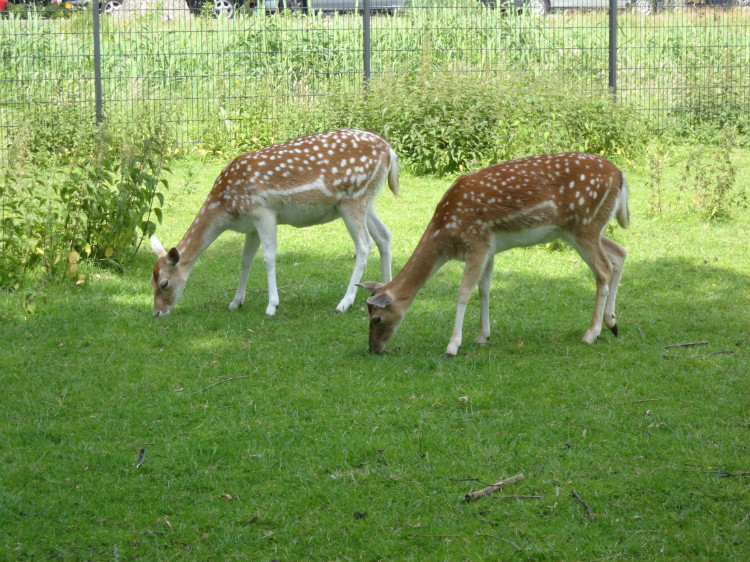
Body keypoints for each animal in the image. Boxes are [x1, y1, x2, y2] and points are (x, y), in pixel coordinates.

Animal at [149, 129, 402, 318]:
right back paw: (384, 290)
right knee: (384, 235)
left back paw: (344, 302)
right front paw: (236, 302)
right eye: (150, 280)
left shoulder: (263, 212)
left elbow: (268, 257)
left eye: (164, 283)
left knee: (364, 245)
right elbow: (245, 260)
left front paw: (272, 305)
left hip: (353, 198)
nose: (157, 312)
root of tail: (390, 151)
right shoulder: (251, 226)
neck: (225, 208)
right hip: (367, 200)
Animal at [362, 151, 632, 356]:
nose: (373, 347)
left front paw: (452, 346)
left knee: (603, 268)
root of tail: (621, 177)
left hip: (584, 225)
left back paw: (591, 333)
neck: (444, 235)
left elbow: (463, 292)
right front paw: (483, 336)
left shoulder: (476, 243)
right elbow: (484, 289)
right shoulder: (489, 249)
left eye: (376, 319)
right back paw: (612, 322)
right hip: (583, 229)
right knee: (619, 253)